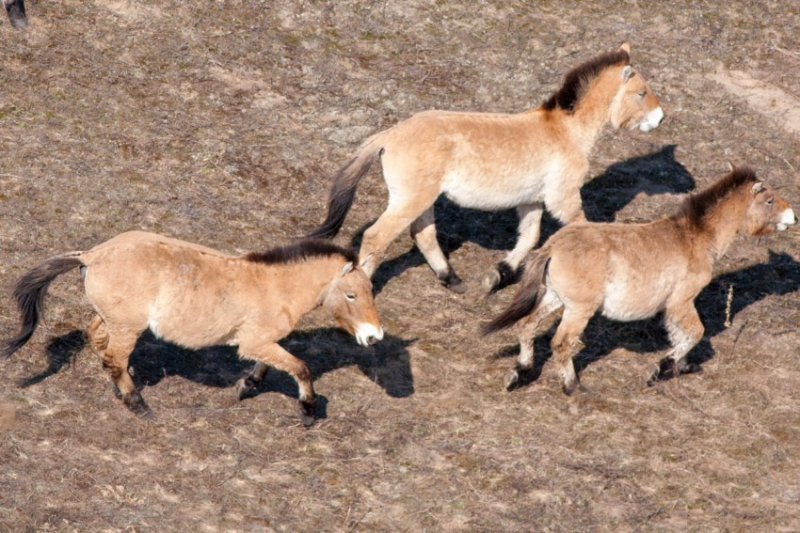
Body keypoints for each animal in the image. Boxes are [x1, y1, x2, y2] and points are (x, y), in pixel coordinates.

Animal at [3, 231, 384, 426]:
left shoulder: (262, 342)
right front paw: (307, 412)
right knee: (113, 358)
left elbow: (271, 365)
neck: (274, 285)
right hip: (128, 327)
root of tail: (91, 255)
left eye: (369, 290)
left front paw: (247, 385)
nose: (374, 336)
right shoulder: (256, 341)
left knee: (97, 341)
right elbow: (301, 368)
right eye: (351, 294)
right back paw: (140, 406)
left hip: (113, 319)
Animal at [306, 42, 664, 294]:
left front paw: (498, 275)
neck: (565, 131)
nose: (660, 119)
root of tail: (389, 136)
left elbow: (530, 237)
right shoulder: (562, 198)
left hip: (421, 200)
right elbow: (580, 229)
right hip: (411, 199)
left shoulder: (532, 201)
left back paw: (452, 280)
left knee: (423, 234)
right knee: (377, 237)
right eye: (641, 92)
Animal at [482, 166, 792, 394]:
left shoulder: (674, 307)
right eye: (769, 200)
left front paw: (681, 367)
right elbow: (694, 333)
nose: (792, 217)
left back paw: (519, 374)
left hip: (555, 299)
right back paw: (573, 387)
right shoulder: (682, 301)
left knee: (526, 325)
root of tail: (552, 247)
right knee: (561, 343)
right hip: (578, 309)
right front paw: (663, 367)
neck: (696, 237)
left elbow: (679, 334)